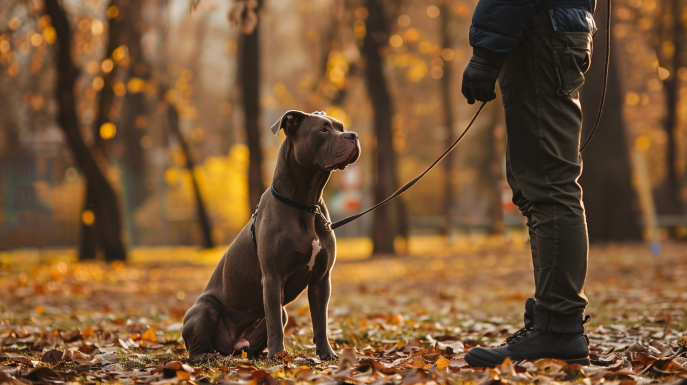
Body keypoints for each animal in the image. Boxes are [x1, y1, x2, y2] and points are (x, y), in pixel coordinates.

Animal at [183, 109, 362, 360]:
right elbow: (275, 322)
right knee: (197, 348)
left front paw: (326, 353)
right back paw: (208, 356)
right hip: (202, 310)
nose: (353, 135)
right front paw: (278, 355)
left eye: (341, 126)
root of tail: (230, 346)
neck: (306, 204)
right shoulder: (272, 277)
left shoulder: (321, 280)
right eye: (324, 129)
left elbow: (320, 321)